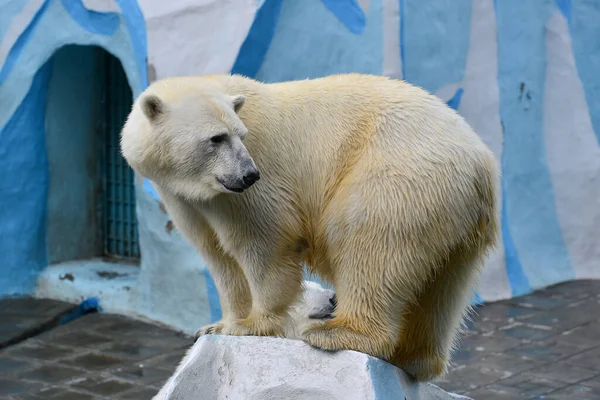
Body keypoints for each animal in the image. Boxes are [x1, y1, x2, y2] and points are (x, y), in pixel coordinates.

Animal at [119, 72, 500, 382]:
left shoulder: (254, 185)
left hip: (396, 176)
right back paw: (412, 358)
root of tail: (481, 162)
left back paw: (338, 333)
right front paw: (219, 325)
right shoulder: (185, 198)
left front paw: (255, 324)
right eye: (216, 138)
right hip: (457, 215)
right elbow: (218, 257)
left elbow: (263, 242)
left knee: (369, 245)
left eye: (240, 135)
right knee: (445, 287)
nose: (249, 175)